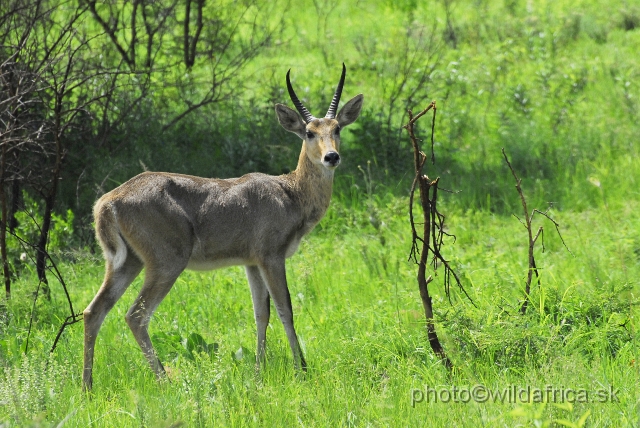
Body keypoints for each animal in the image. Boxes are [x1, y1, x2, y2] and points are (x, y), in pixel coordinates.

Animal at [84, 64, 364, 392]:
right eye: (309, 132)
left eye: (337, 128)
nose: (331, 156)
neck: (291, 193)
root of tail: (108, 202)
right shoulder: (272, 257)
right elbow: (285, 308)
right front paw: (302, 370)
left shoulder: (251, 263)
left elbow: (261, 313)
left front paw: (258, 372)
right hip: (166, 263)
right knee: (135, 315)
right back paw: (165, 382)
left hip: (127, 262)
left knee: (94, 311)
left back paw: (87, 387)